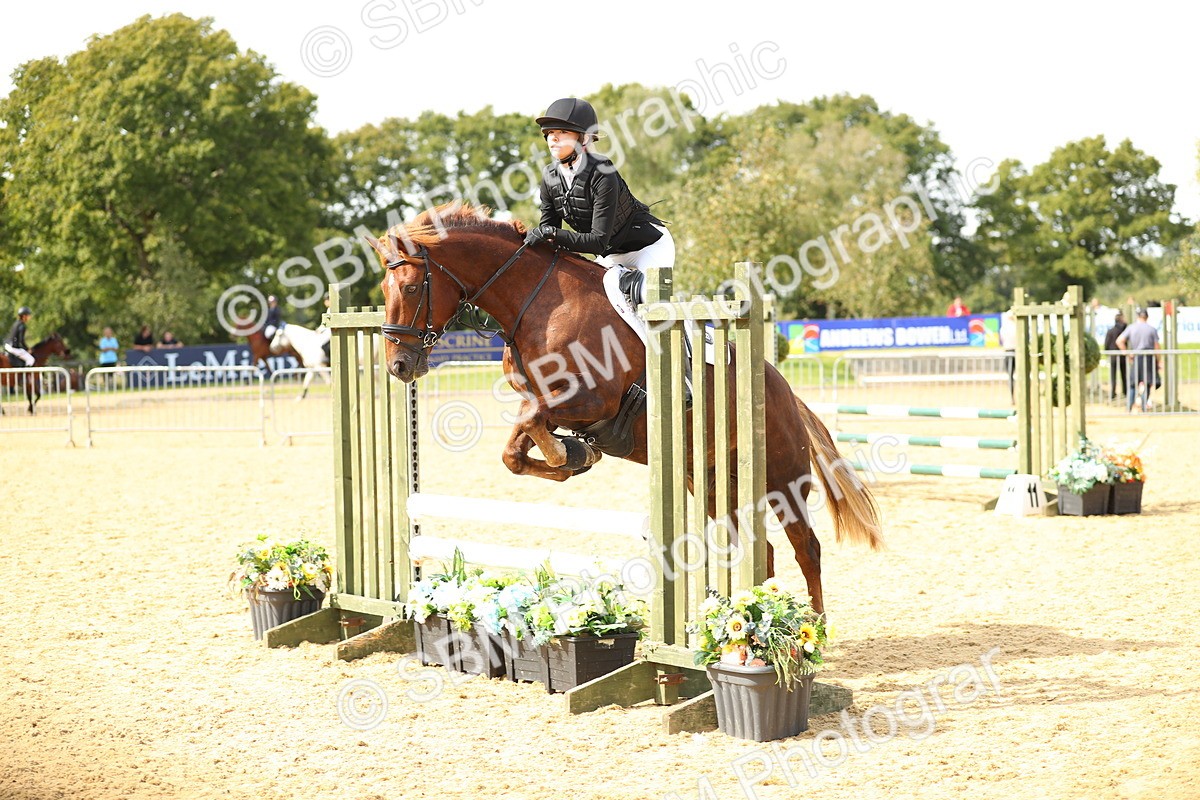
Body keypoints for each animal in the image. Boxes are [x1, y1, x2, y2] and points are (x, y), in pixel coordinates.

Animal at [367, 203, 881, 614]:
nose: (398, 366)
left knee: (806, 548)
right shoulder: (543, 401)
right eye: (384, 289)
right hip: (710, 480)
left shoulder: (592, 397)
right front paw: (576, 455)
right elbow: (515, 449)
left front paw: (575, 454)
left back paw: (814, 629)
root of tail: (784, 389)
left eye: (409, 288)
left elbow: (533, 429)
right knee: (760, 551)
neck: (535, 302)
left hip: (781, 476)